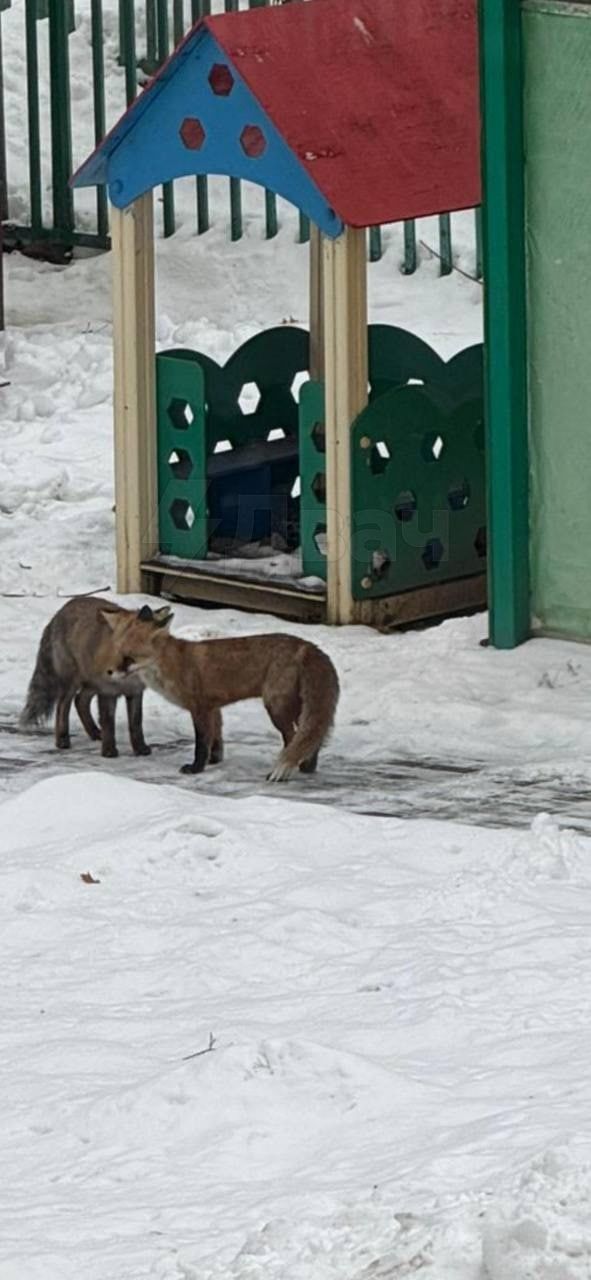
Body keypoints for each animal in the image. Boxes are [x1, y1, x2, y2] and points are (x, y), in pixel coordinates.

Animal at [18, 593, 170, 752]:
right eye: (121, 646)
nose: (111, 670)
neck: (129, 678)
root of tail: (59, 613)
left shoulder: (135, 692)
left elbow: (136, 723)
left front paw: (140, 748)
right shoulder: (108, 691)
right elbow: (108, 722)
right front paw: (109, 751)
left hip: (91, 683)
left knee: (80, 701)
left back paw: (94, 732)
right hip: (72, 683)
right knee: (62, 707)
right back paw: (62, 739)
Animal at [102, 601, 337, 778]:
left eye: (129, 658)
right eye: (118, 651)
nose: (109, 671)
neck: (174, 664)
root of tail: (307, 646)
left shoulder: (200, 708)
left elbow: (201, 743)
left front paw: (196, 768)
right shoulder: (213, 707)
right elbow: (216, 739)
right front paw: (214, 761)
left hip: (276, 708)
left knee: (294, 737)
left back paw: (288, 771)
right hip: (296, 706)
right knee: (312, 737)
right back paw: (307, 767)